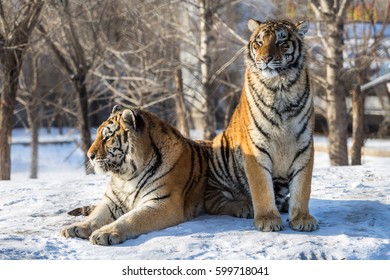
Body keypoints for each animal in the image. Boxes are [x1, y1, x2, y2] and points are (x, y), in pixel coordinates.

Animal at [60, 105, 209, 245]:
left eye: (107, 137)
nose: (89, 155)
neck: (126, 177)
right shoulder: (112, 201)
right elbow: (95, 216)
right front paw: (76, 227)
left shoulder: (163, 202)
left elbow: (131, 218)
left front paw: (104, 233)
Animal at [206, 18, 318, 232]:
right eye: (259, 43)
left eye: (282, 42)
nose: (265, 59)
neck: (281, 88)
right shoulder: (255, 147)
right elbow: (261, 187)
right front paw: (267, 219)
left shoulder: (304, 145)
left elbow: (302, 187)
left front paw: (302, 218)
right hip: (218, 148)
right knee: (215, 198)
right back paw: (243, 206)